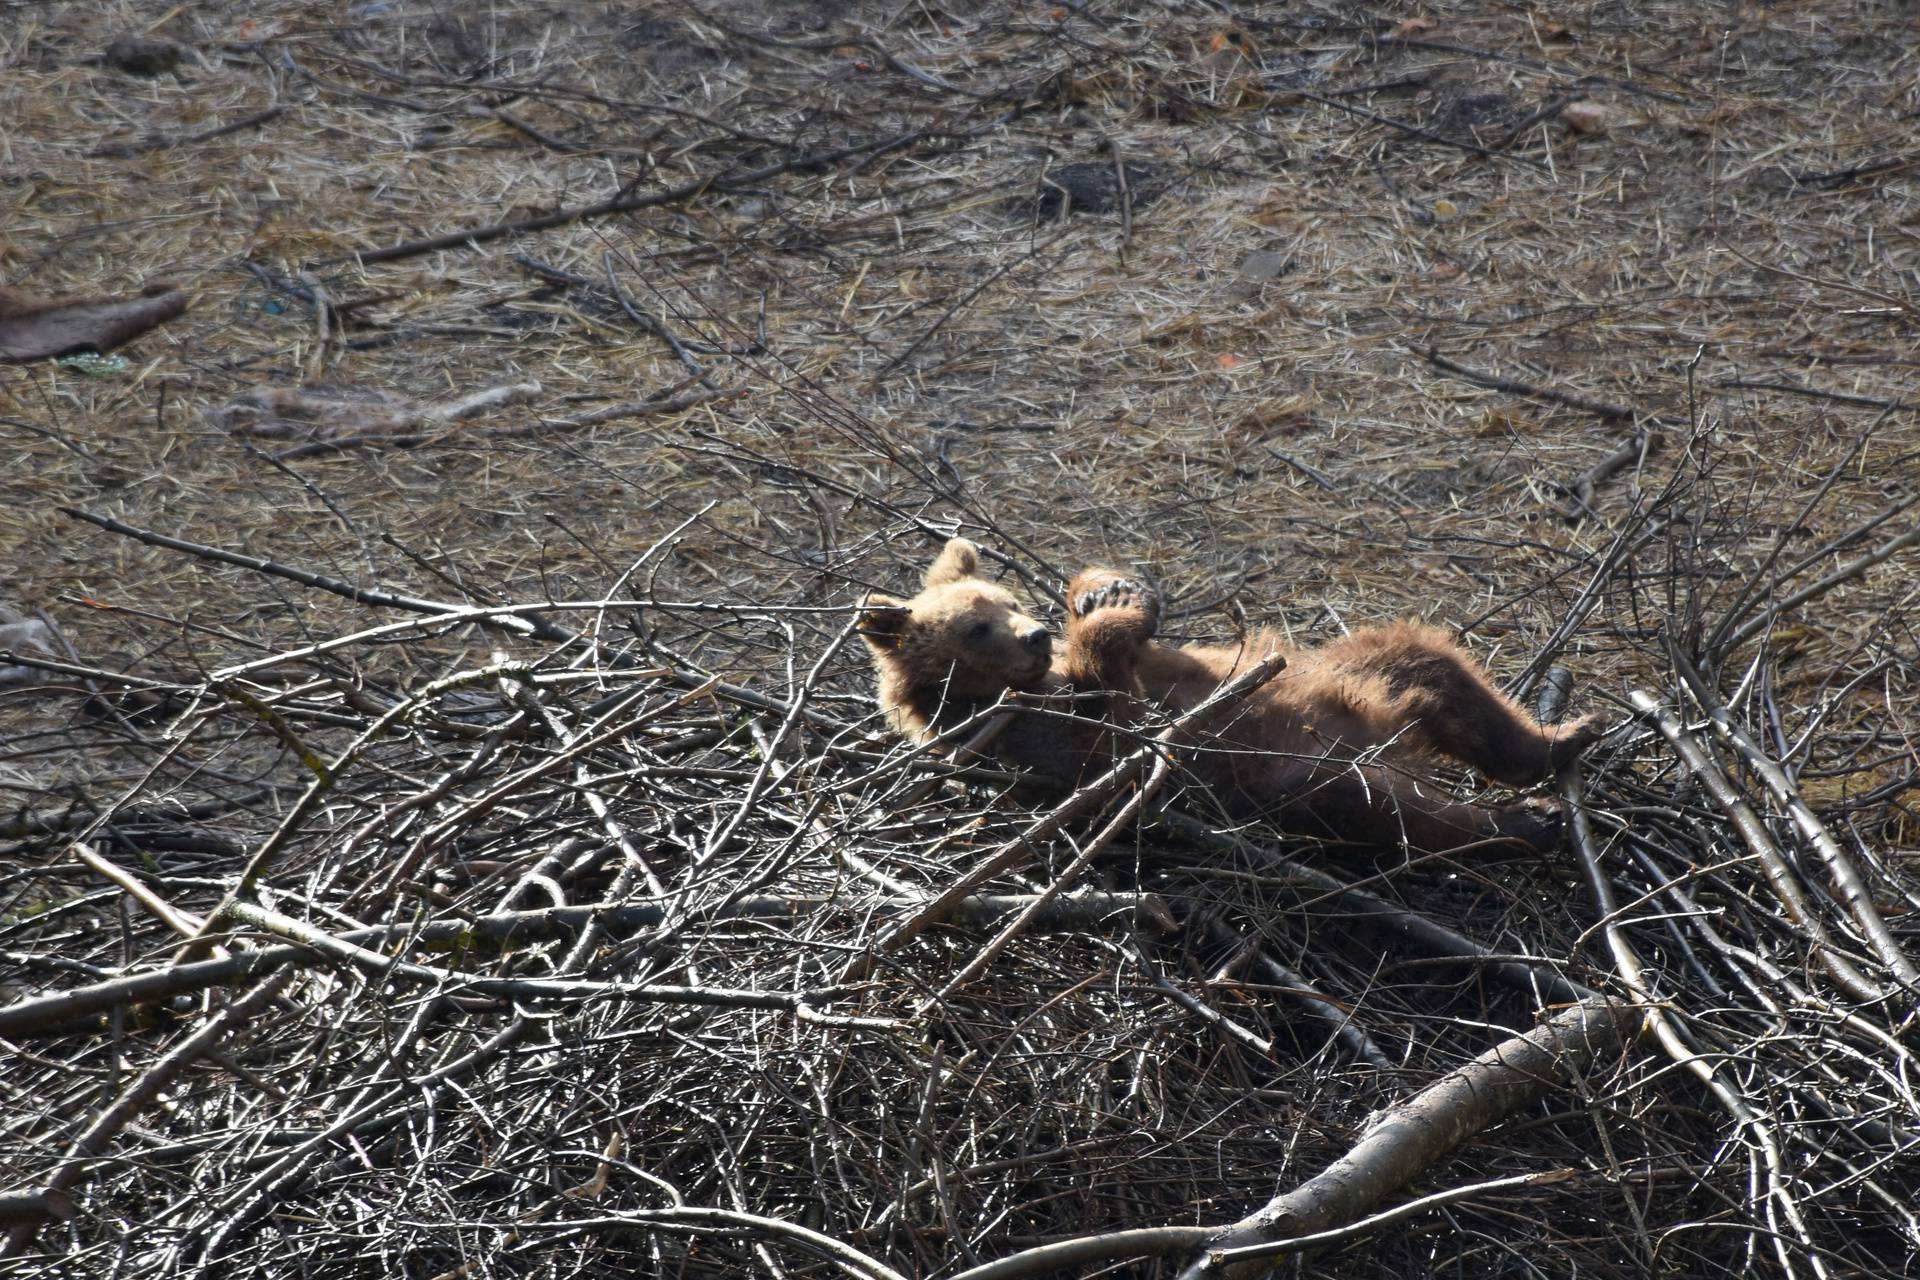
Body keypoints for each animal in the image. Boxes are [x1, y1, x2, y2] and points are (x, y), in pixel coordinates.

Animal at [860, 537, 1605, 855]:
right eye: (977, 627)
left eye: (1006, 599)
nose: (1036, 635)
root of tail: (1390, 736)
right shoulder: (1038, 742)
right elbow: (1115, 717)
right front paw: (1107, 608)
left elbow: (1140, 647)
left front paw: (1104, 590)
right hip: (1300, 776)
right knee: (1395, 813)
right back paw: (1524, 821)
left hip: (1354, 667)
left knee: (1438, 668)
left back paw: (1565, 738)